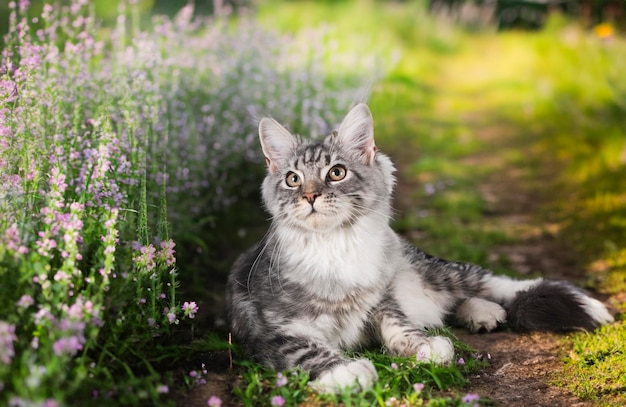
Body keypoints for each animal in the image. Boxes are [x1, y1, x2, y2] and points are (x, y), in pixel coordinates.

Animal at [223, 103, 608, 394]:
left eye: (336, 173)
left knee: (495, 283)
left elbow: (401, 327)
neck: (336, 246)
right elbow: (308, 350)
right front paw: (347, 371)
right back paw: (482, 313)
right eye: (293, 179)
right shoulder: (274, 330)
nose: (310, 196)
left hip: (438, 270)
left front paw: (427, 347)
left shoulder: (381, 302)